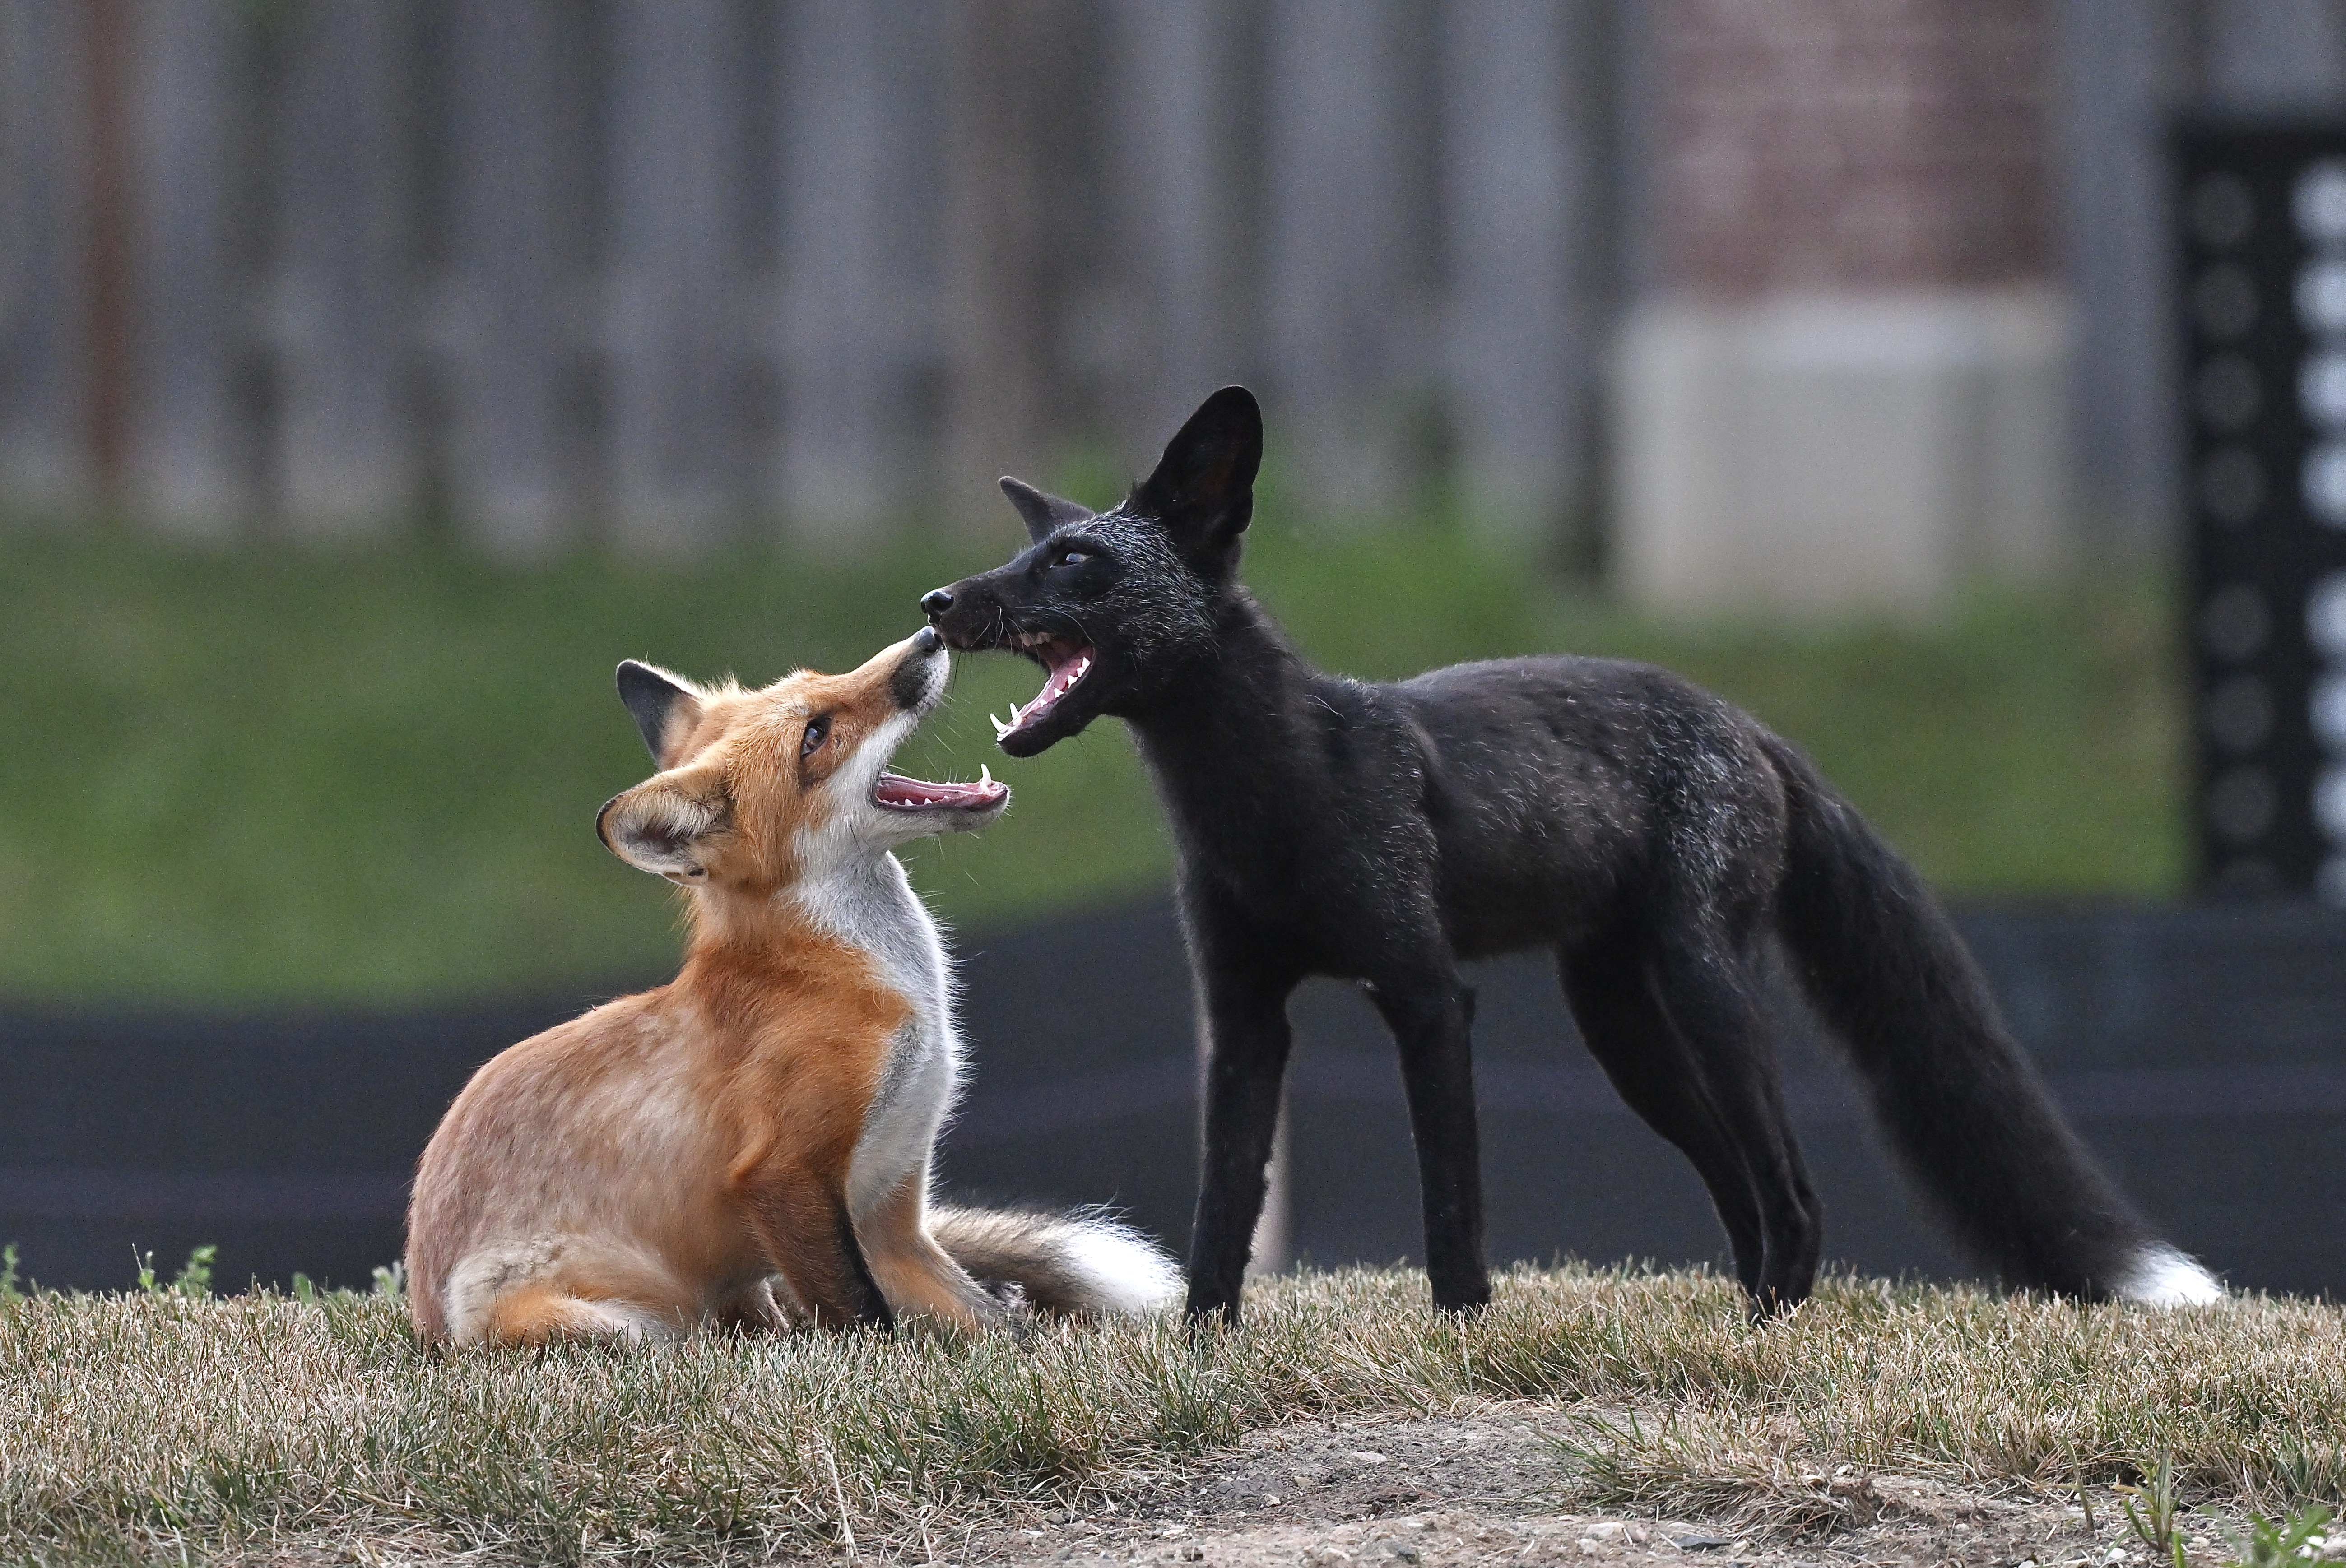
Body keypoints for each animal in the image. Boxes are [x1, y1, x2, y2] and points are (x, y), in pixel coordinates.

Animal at [404, 629, 1180, 1347]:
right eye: (815, 735)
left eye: (821, 678)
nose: (930, 631)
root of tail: (425, 1319)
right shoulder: (783, 1175)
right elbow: (867, 1321)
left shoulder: (891, 1217)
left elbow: (994, 1326)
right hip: (604, 1323)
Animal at [920, 385, 2225, 1326]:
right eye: (1028, 554)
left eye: (1075, 566)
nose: (937, 602)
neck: (1264, 804)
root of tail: (1744, 721)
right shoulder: (1241, 1018)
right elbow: (1217, 1216)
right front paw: (1202, 1348)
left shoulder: (1428, 995)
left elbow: (1450, 1207)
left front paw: (1461, 1336)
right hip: (1624, 1033)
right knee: (1738, 1187)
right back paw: (1747, 1310)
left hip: (1703, 990)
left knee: (1792, 1188)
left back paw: (1769, 1326)